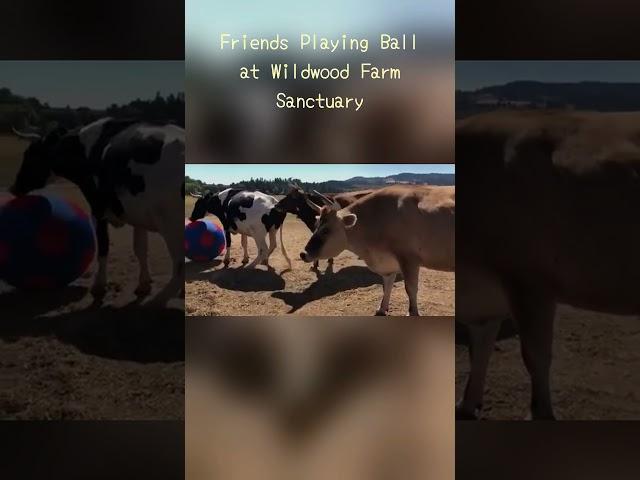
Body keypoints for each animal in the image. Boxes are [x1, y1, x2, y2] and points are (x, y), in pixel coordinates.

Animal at [11, 117, 184, 302]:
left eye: (30, 154)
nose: (14, 187)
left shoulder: (97, 210)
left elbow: (103, 248)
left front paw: (99, 286)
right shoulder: (137, 214)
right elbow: (140, 249)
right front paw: (143, 285)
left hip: (171, 224)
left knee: (179, 266)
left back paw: (161, 299)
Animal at [300, 184, 456, 316]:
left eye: (326, 230)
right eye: (315, 225)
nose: (303, 254)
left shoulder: (409, 258)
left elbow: (410, 288)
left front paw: (413, 313)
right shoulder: (388, 263)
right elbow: (387, 285)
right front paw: (382, 308)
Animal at [456, 110, 640, 418]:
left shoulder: (528, 280)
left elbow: (535, 357)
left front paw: (540, 413)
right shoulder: (486, 292)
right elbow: (479, 349)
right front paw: (465, 405)